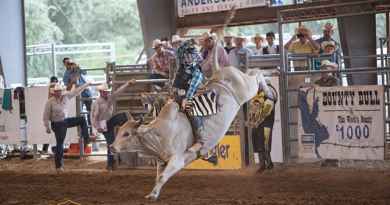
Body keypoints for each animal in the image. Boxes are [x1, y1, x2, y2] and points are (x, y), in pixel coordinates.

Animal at [111, 57, 272, 200]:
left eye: (127, 134)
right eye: (119, 131)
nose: (112, 147)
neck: (160, 133)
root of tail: (221, 72)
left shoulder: (177, 160)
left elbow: (162, 176)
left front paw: (153, 195)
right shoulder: (161, 161)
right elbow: (158, 177)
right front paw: (152, 194)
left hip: (247, 88)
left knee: (256, 73)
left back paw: (268, 89)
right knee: (252, 72)